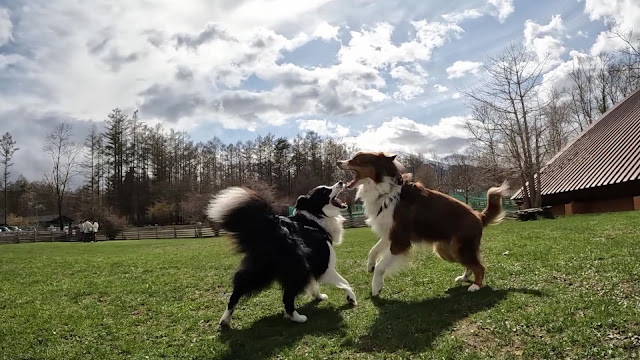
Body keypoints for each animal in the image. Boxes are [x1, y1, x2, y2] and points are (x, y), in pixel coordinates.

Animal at [338, 152, 508, 296]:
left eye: (357, 159)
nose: (338, 162)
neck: (386, 191)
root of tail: (479, 216)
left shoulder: (400, 240)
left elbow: (381, 266)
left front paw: (376, 287)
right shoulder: (389, 233)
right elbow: (373, 251)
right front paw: (370, 265)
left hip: (458, 248)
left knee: (479, 266)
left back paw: (475, 286)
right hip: (446, 250)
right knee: (472, 263)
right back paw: (464, 278)